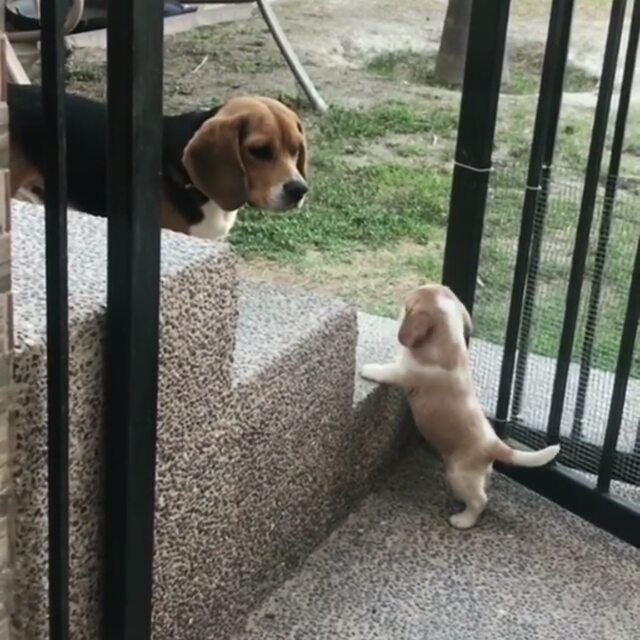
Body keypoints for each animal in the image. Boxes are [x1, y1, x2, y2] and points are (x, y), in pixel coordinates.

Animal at [360, 284, 560, 528]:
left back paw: (463, 519)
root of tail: (495, 445)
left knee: (480, 500)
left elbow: (385, 370)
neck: (447, 339)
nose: (399, 308)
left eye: (406, 306)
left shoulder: (403, 372)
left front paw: (367, 369)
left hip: (458, 475)